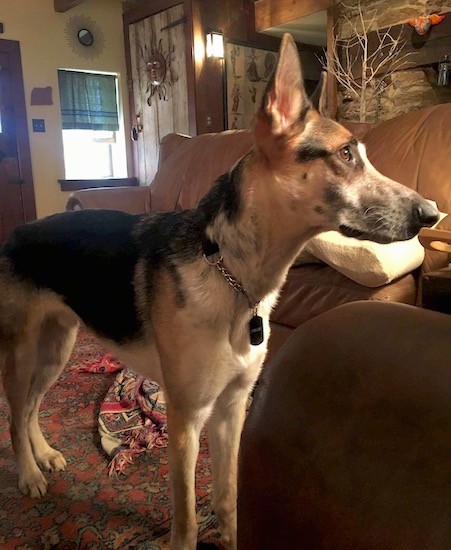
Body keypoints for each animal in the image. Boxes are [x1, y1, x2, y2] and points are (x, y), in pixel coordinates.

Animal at [0, 35, 438, 550]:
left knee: (31, 408)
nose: (433, 213)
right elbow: (187, 519)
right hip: (24, 351)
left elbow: (229, 498)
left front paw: (230, 536)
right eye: (347, 154)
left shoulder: (231, 410)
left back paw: (45, 455)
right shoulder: (187, 418)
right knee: (14, 414)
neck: (235, 274)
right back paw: (28, 474)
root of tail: (17, 231)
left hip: (59, 345)